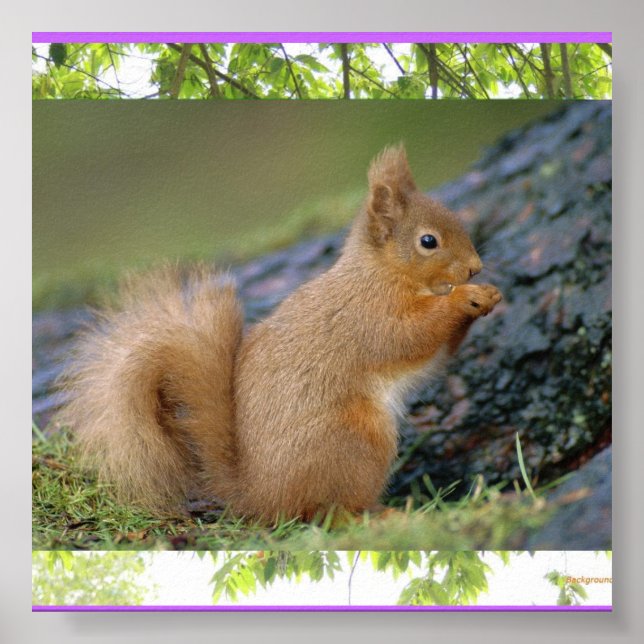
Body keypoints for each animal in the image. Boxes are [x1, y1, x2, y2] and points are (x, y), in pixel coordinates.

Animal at [59, 145, 502, 523]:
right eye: (428, 241)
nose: (475, 268)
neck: (382, 273)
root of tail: (260, 495)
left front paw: (488, 296)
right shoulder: (371, 317)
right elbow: (412, 335)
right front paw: (465, 298)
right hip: (356, 439)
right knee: (326, 512)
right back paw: (383, 515)